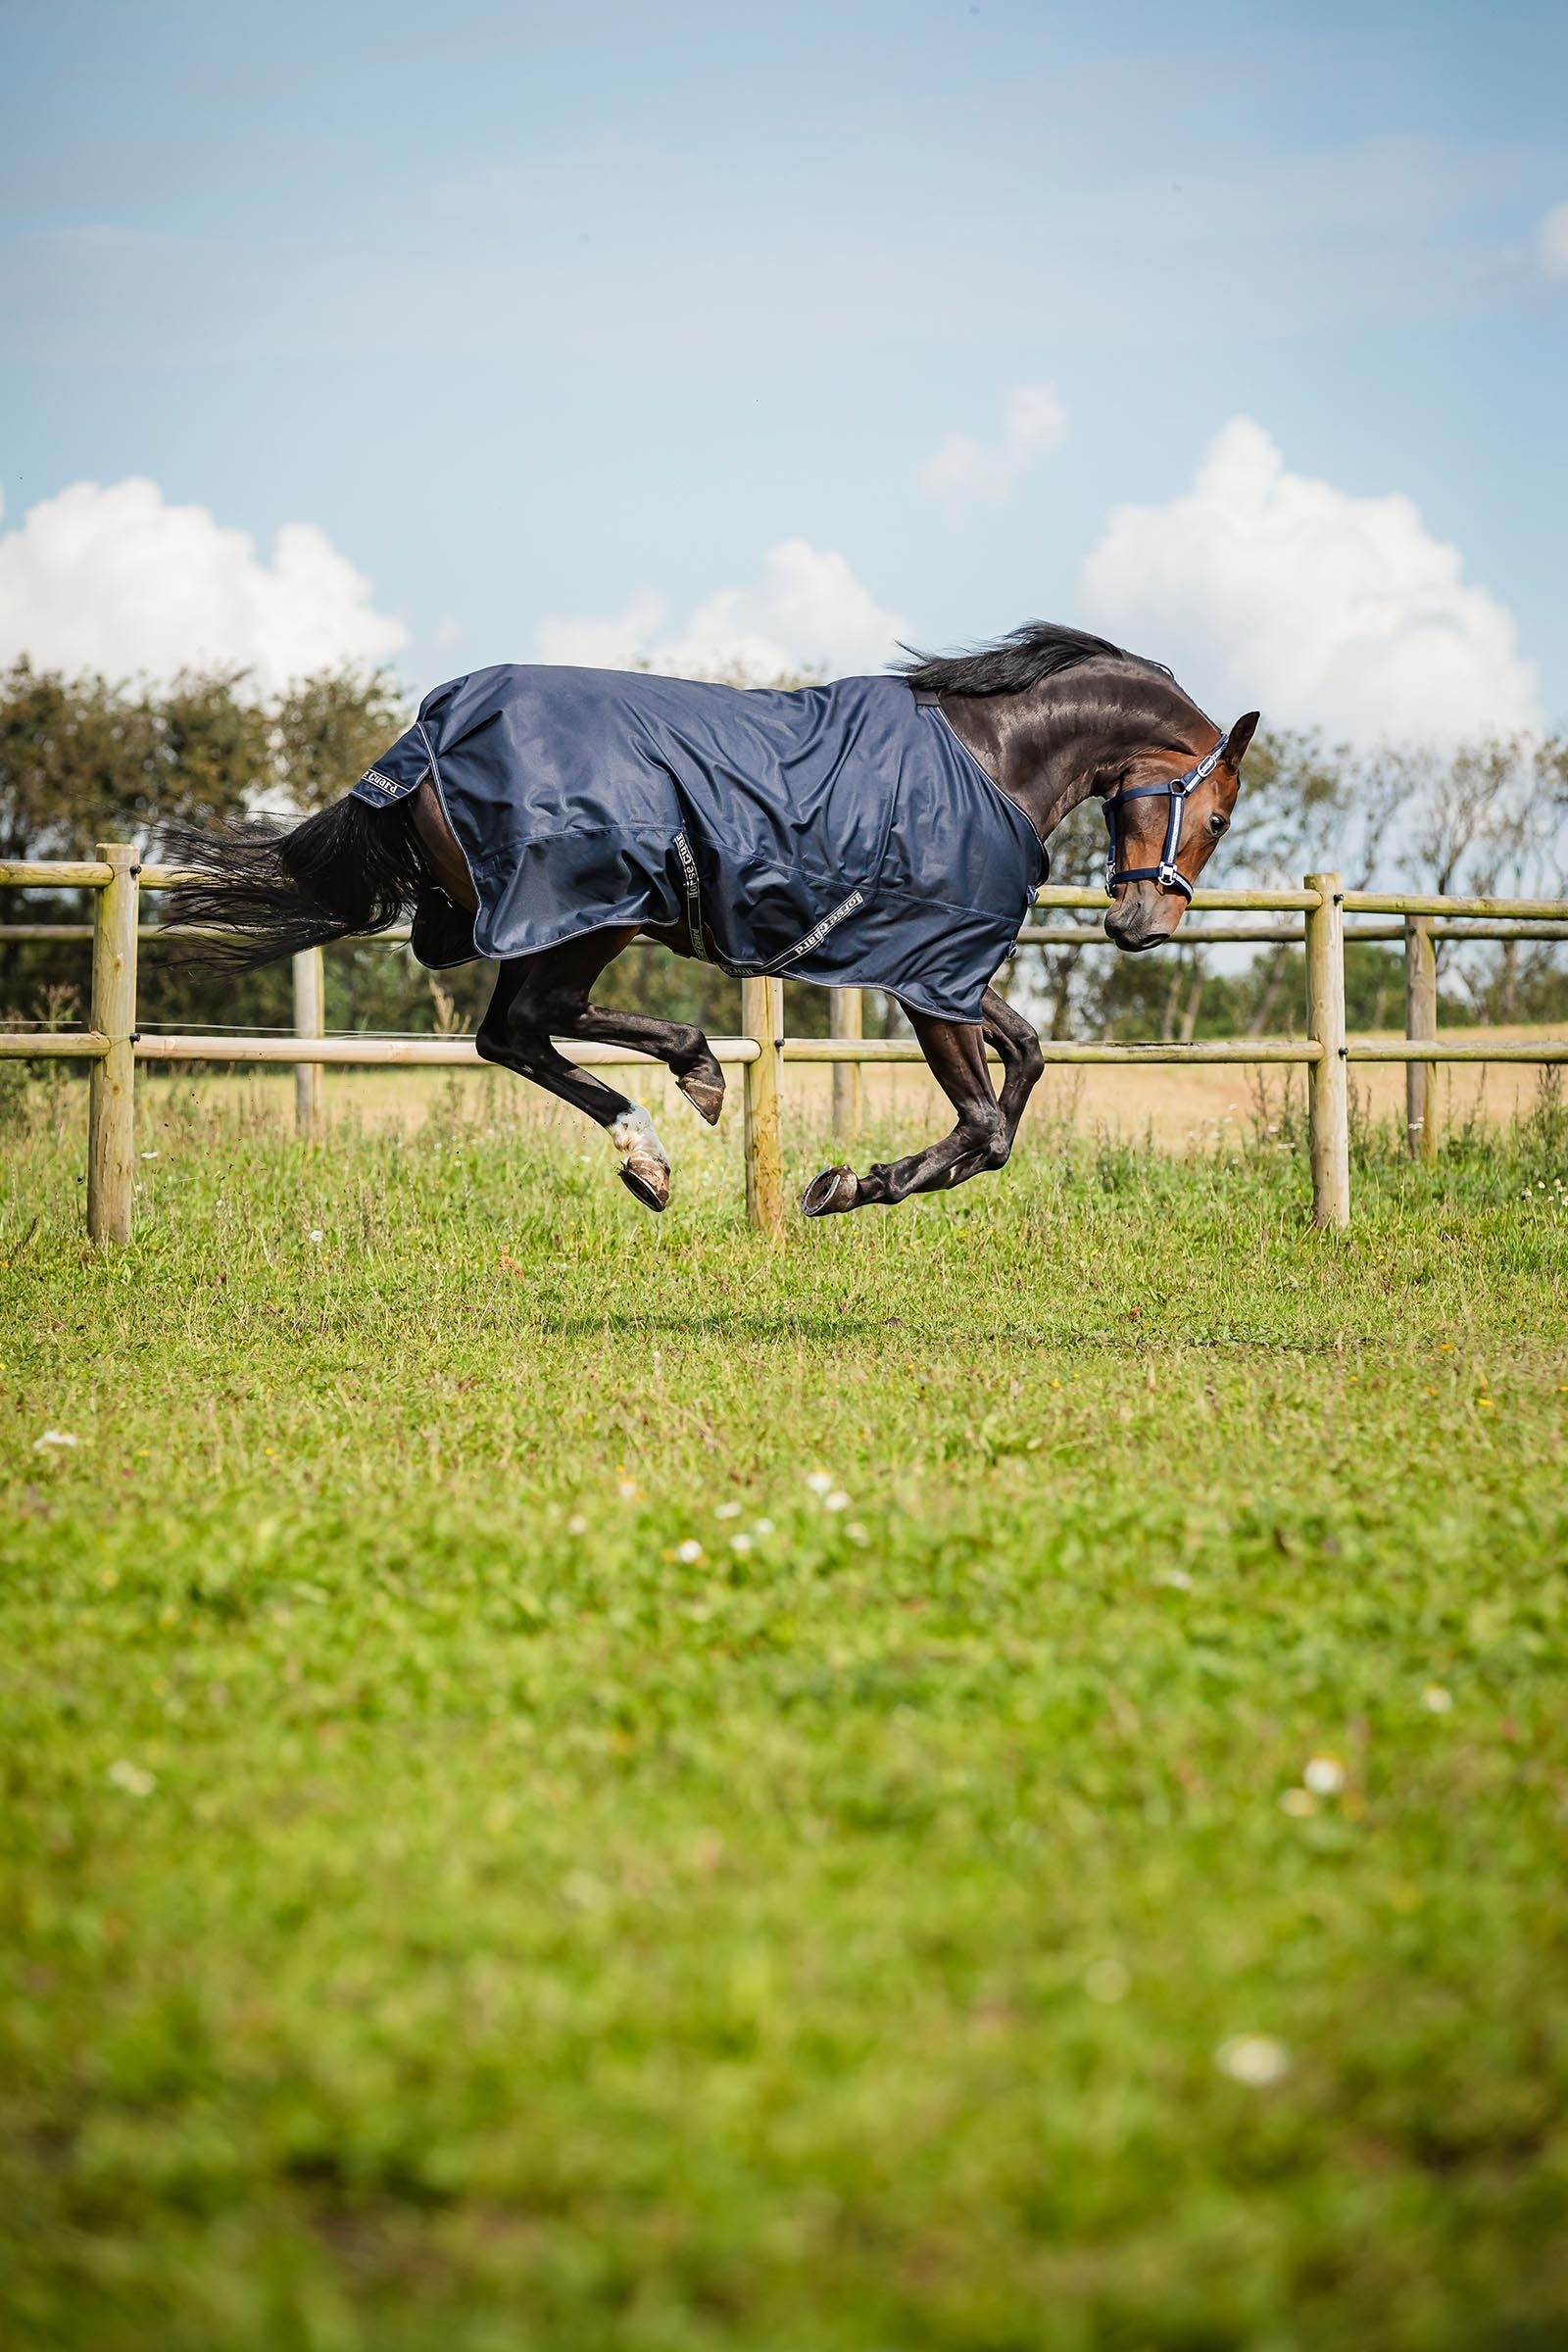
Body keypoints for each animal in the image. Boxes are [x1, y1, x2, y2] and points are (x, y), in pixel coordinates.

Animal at [164, 624, 1258, 1217]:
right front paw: (852, 1186)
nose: (1141, 925)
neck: (991, 757)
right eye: (1215, 816)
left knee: (513, 1032)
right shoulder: (930, 971)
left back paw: (662, 1132)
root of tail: (423, 735)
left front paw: (878, 1180)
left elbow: (1024, 1059)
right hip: (591, 910)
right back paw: (677, 1101)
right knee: (531, 1023)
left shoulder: (937, 965)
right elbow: (985, 1122)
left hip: (558, 918)